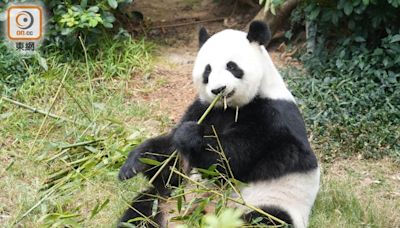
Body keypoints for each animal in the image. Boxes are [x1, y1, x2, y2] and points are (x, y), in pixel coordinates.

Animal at [117, 21, 320, 228]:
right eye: (207, 70)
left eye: (232, 66)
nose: (218, 89)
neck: (228, 107)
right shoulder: (203, 109)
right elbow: (173, 167)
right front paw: (134, 162)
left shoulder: (273, 119)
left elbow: (229, 159)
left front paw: (190, 135)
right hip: (167, 201)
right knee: (141, 210)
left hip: (266, 204)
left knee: (266, 219)